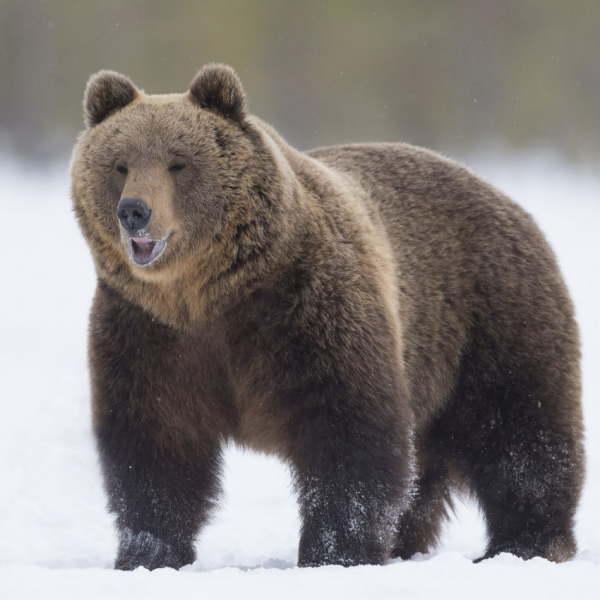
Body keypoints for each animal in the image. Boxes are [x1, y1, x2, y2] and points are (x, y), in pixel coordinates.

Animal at [69, 63, 580, 568]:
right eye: (120, 164)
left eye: (178, 163)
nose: (134, 211)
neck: (211, 295)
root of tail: (501, 193)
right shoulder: (149, 331)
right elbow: (154, 440)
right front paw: (147, 553)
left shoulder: (309, 310)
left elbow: (348, 429)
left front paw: (335, 552)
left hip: (486, 314)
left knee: (519, 431)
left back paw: (528, 542)